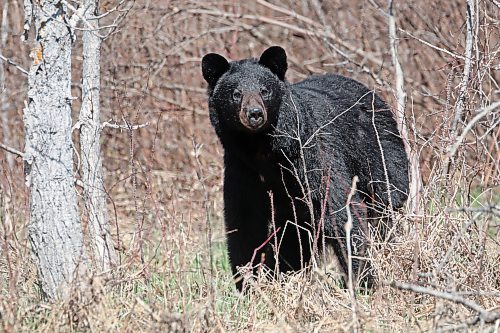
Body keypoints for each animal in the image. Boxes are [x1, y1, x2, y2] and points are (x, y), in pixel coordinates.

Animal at [201, 45, 408, 290]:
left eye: (264, 91)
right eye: (236, 93)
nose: (254, 114)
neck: (263, 148)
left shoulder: (313, 153)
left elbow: (339, 206)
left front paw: (362, 278)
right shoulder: (241, 167)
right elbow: (245, 221)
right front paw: (248, 283)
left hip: (380, 155)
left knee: (385, 204)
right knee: (293, 241)